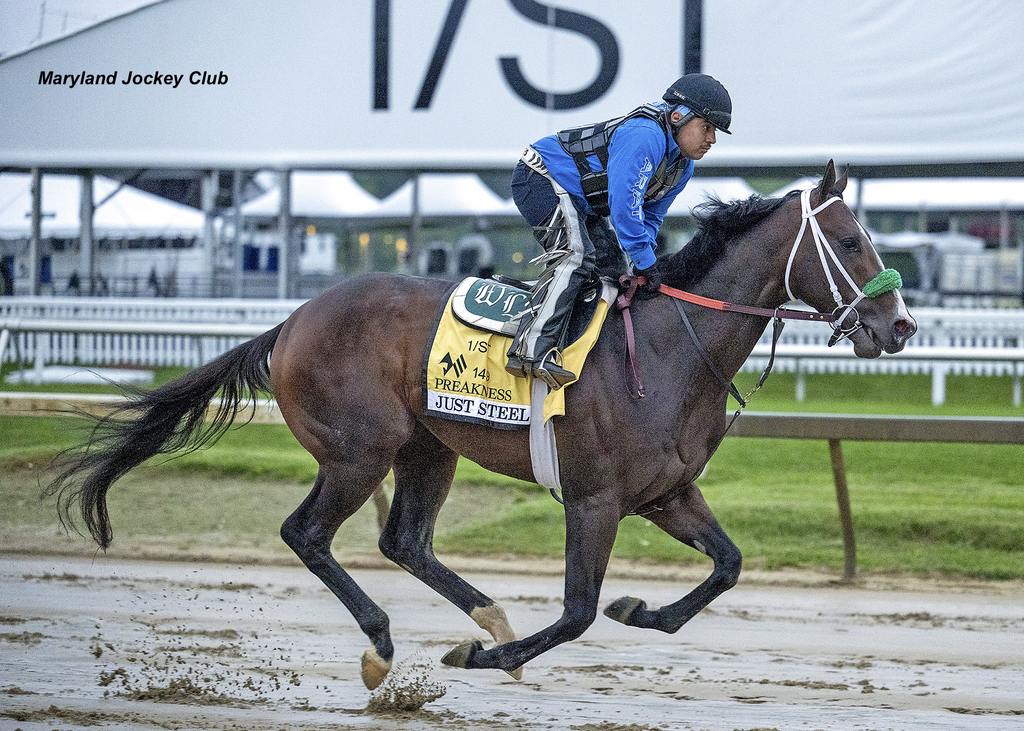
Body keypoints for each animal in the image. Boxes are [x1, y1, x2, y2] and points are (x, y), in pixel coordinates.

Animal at [48, 160, 917, 688]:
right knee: (307, 533)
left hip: (427, 447)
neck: (675, 346)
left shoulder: (666, 493)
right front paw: (490, 656)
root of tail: (292, 321)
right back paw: (386, 641)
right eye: (850, 239)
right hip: (359, 451)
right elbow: (576, 611)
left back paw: (482, 614)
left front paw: (640, 611)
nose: (901, 325)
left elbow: (728, 565)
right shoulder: (595, 499)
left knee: (405, 540)